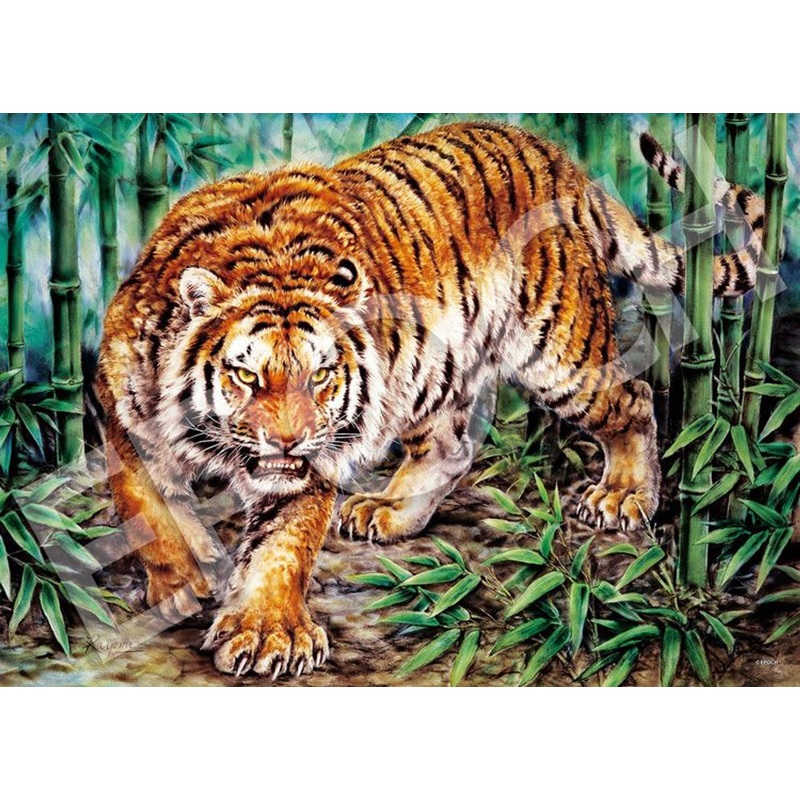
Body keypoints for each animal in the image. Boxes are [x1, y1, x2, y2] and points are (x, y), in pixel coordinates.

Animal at [96, 121, 765, 678]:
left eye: (321, 376)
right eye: (247, 376)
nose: (289, 440)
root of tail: (560, 160)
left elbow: (280, 540)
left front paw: (267, 635)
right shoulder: (120, 413)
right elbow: (147, 512)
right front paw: (185, 581)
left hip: (559, 351)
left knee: (634, 397)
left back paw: (624, 495)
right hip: (431, 372)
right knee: (450, 447)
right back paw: (388, 511)